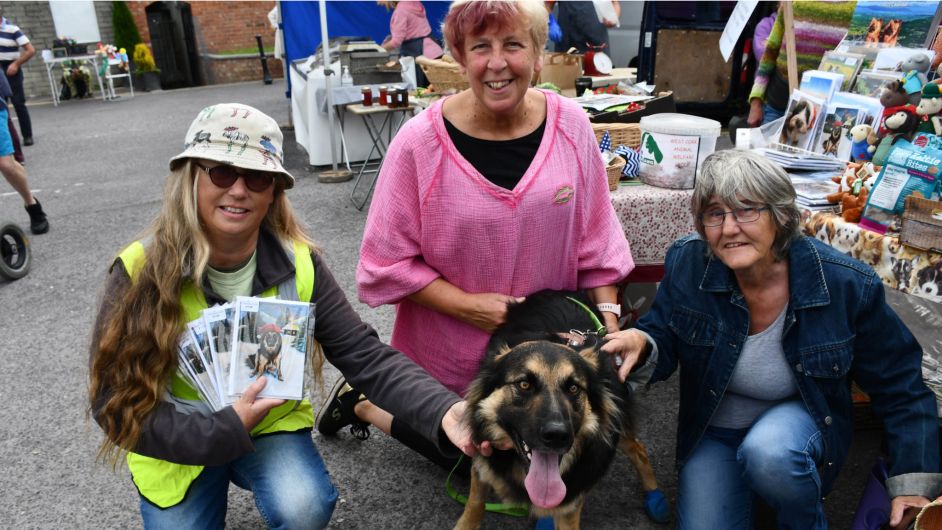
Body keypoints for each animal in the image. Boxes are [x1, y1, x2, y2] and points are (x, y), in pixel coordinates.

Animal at [458, 288, 664, 528]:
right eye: (524, 384)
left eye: (574, 388)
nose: (557, 436)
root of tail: (561, 291)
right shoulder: (482, 467)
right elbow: (473, 507)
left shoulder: (570, 504)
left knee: (639, 449)